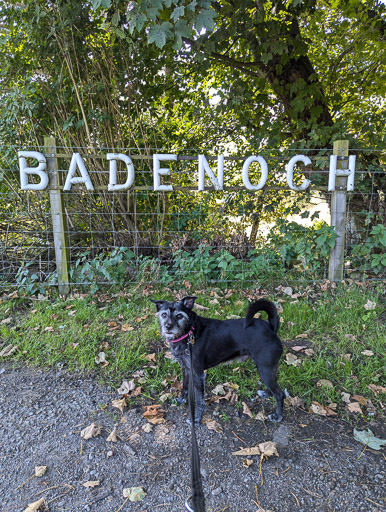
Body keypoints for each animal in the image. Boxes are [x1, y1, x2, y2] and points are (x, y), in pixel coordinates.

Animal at [152, 296, 284, 424]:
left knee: (280, 394)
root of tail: (270, 328)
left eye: (179, 315)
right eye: (164, 314)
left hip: (265, 369)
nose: (168, 327)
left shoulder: (198, 374)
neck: (189, 332)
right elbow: (184, 387)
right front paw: (181, 400)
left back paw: (277, 416)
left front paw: (197, 418)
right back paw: (267, 393)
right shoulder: (186, 368)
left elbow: (199, 400)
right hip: (266, 369)